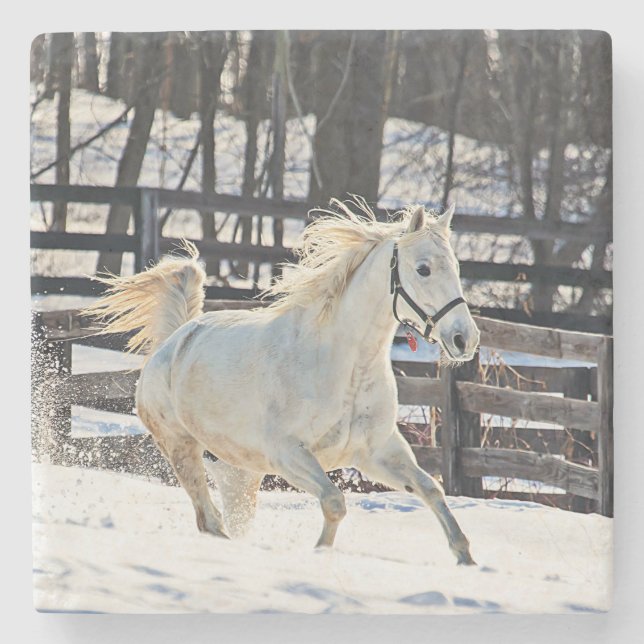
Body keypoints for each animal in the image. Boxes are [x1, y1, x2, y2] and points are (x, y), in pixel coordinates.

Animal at [86, 198, 480, 565]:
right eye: (423, 269)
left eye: (457, 267)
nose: (465, 339)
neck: (345, 367)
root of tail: (173, 340)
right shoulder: (288, 453)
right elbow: (334, 501)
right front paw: (319, 553)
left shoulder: (377, 452)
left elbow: (431, 490)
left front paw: (466, 558)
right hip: (180, 447)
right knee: (208, 519)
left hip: (240, 472)